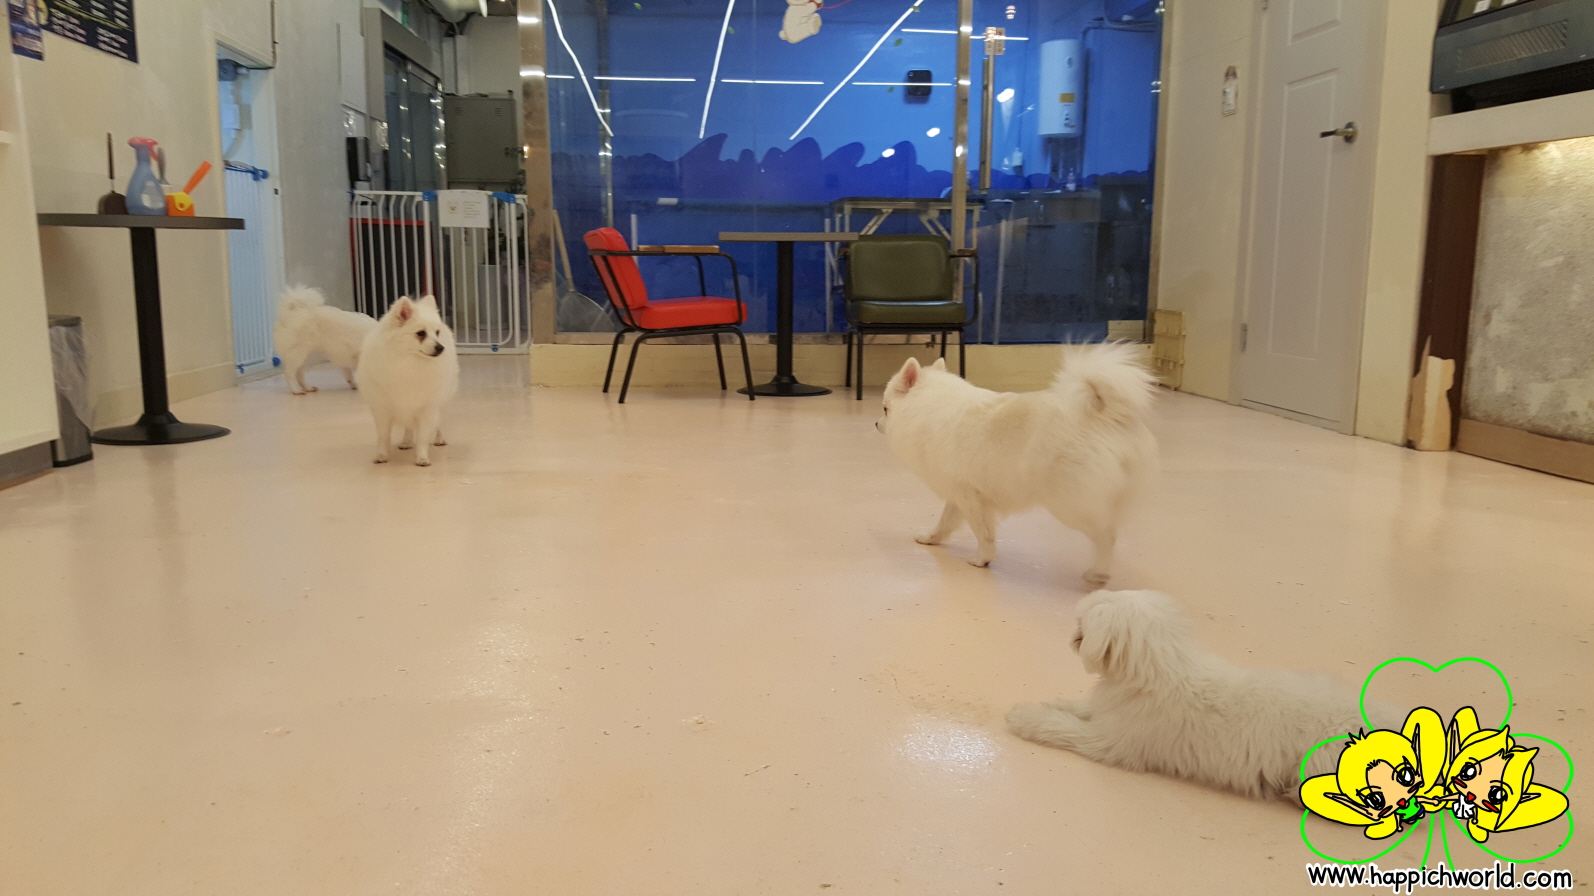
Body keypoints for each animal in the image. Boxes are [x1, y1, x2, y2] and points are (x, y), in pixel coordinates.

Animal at [355, 295, 459, 466]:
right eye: (421, 333)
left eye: (437, 333)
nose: (440, 347)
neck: (408, 362)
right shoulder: (382, 408)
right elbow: (383, 436)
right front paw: (382, 455)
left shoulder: (427, 408)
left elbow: (423, 436)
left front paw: (422, 458)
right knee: (408, 427)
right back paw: (406, 441)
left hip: (442, 401)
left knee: (438, 423)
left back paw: (439, 439)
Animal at [877, 343, 1157, 586]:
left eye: (885, 409)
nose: (877, 423)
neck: (927, 409)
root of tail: (1105, 415)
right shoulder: (960, 495)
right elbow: (945, 523)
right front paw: (931, 539)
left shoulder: (970, 498)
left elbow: (983, 533)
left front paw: (982, 559)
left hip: (1069, 505)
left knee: (1107, 535)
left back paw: (1098, 573)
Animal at [1005, 590, 1389, 802]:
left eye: (1082, 625)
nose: (1072, 635)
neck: (1159, 671)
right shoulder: (1106, 712)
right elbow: (1073, 706)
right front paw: (1048, 703)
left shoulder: (1108, 741)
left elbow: (1060, 726)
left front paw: (1024, 717)